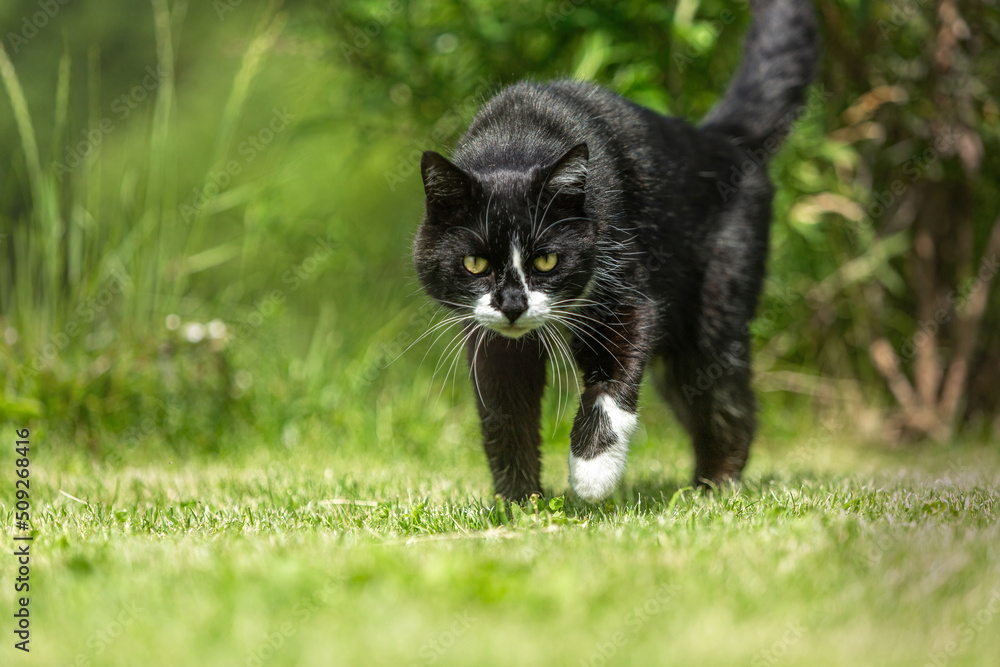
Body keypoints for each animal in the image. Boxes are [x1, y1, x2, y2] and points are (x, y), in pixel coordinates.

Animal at [410, 0, 816, 500]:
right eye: (475, 263)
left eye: (547, 259)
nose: (512, 305)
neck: (516, 142)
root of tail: (723, 139)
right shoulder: (490, 334)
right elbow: (505, 409)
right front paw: (520, 502)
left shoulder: (625, 285)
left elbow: (613, 373)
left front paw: (592, 472)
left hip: (718, 291)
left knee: (724, 390)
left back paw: (715, 487)